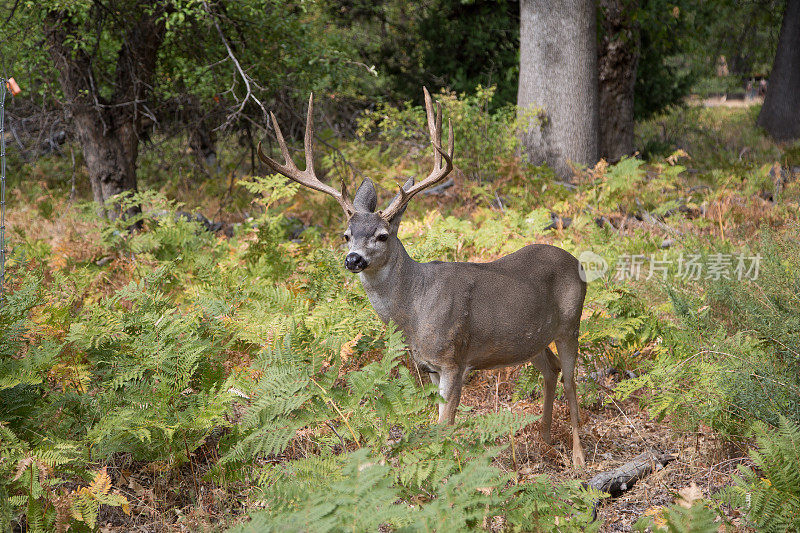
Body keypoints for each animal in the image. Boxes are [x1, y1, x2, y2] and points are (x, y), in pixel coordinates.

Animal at [256, 87, 588, 466]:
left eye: (383, 235)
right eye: (346, 234)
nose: (353, 259)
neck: (413, 312)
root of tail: (577, 261)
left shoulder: (454, 359)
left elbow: (445, 425)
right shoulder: (426, 366)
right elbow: (434, 422)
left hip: (571, 322)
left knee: (571, 379)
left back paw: (578, 457)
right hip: (529, 339)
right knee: (551, 370)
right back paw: (544, 438)